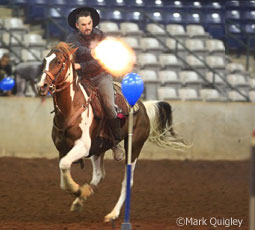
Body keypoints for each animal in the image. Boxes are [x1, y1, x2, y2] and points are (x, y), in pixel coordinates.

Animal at [36, 41, 186, 223]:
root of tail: (143, 106)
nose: (42, 86)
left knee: (127, 181)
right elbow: (63, 177)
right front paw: (82, 192)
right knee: (99, 174)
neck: (71, 108)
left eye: (58, 61)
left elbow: (64, 166)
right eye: (45, 60)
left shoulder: (82, 147)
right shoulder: (63, 149)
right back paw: (83, 198)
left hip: (133, 147)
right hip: (98, 149)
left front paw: (80, 190)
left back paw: (112, 214)